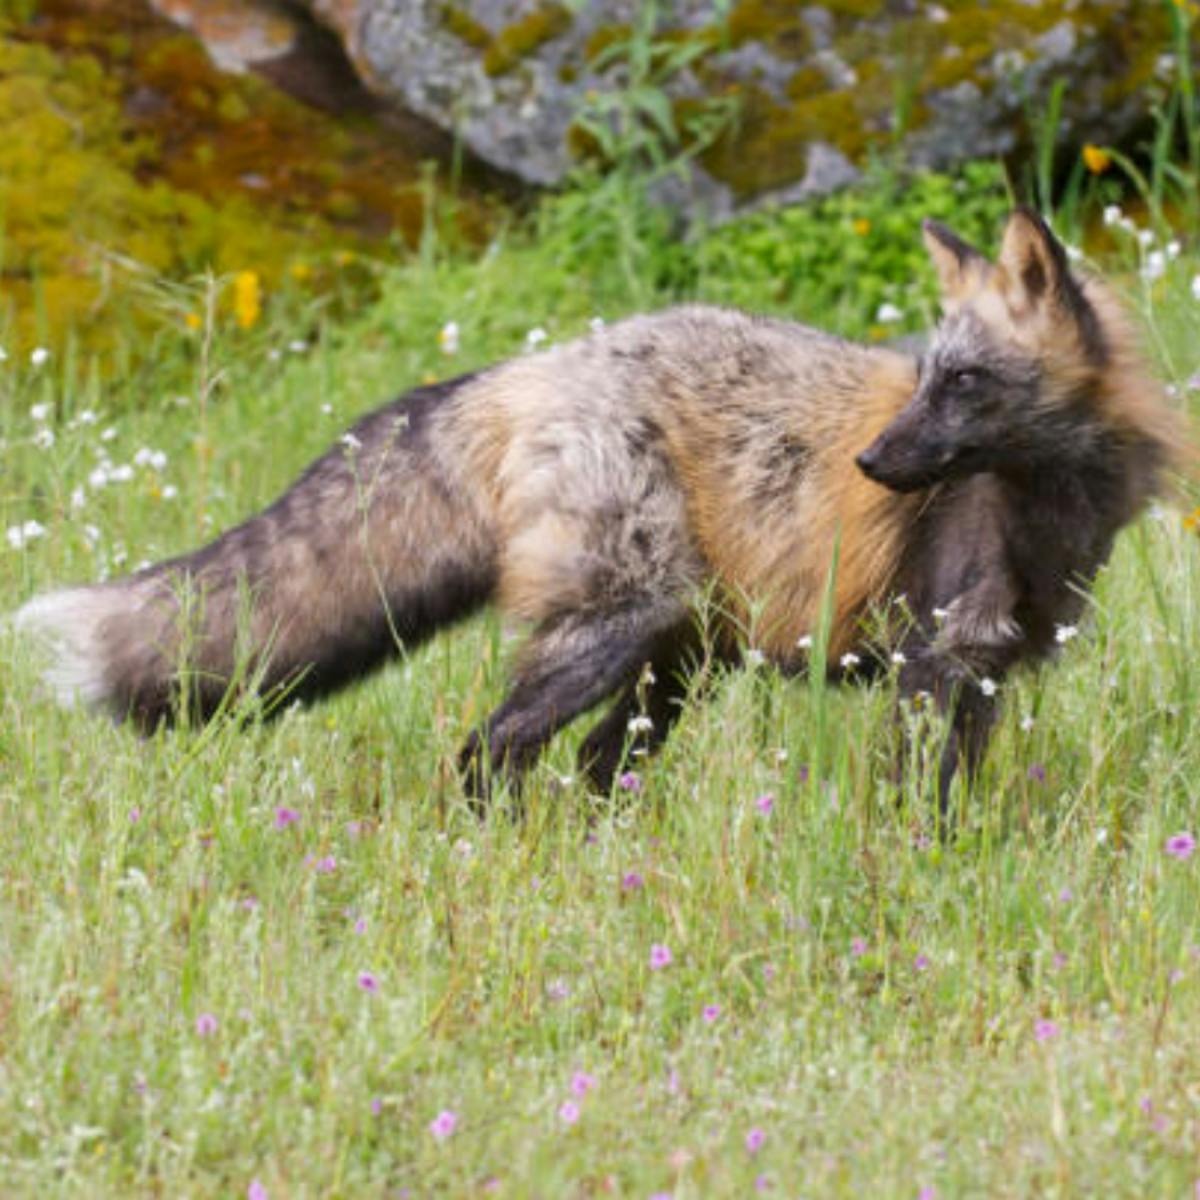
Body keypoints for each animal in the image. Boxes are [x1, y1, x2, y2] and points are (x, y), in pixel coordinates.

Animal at [13, 209, 1188, 810]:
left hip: (672, 665)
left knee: (585, 770)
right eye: (929, 379)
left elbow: (960, 794)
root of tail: (523, 369)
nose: (871, 461)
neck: (1047, 510)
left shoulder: (985, 668)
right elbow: (917, 801)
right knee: (485, 754)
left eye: (965, 383)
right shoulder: (931, 658)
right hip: (618, 631)